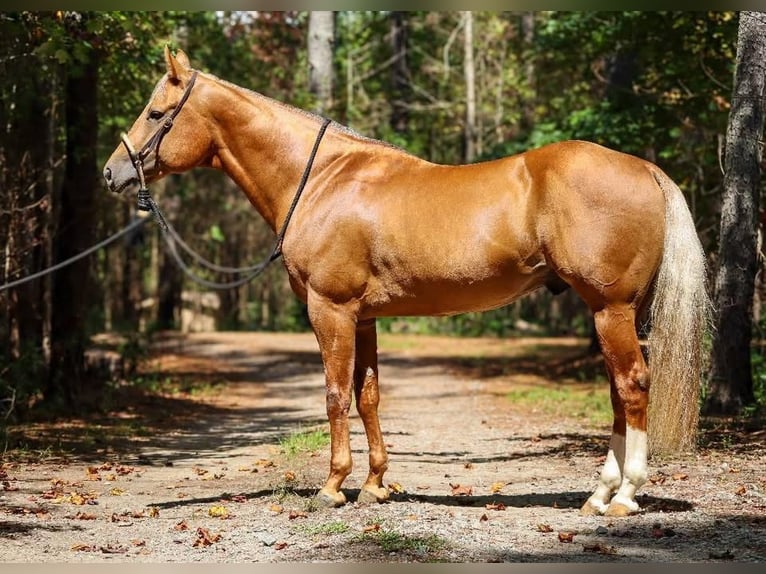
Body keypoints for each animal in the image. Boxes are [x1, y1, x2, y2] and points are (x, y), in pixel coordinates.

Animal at [103, 47, 709, 517]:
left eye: (156, 112)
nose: (113, 172)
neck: (322, 179)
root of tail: (643, 168)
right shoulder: (364, 316)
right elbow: (367, 395)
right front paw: (374, 485)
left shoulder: (330, 310)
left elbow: (333, 395)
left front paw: (332, 487)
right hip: (614, 312)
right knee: (616, 392)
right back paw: (599, 494)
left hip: (612, 308)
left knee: (632, 385)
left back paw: (624, 496)